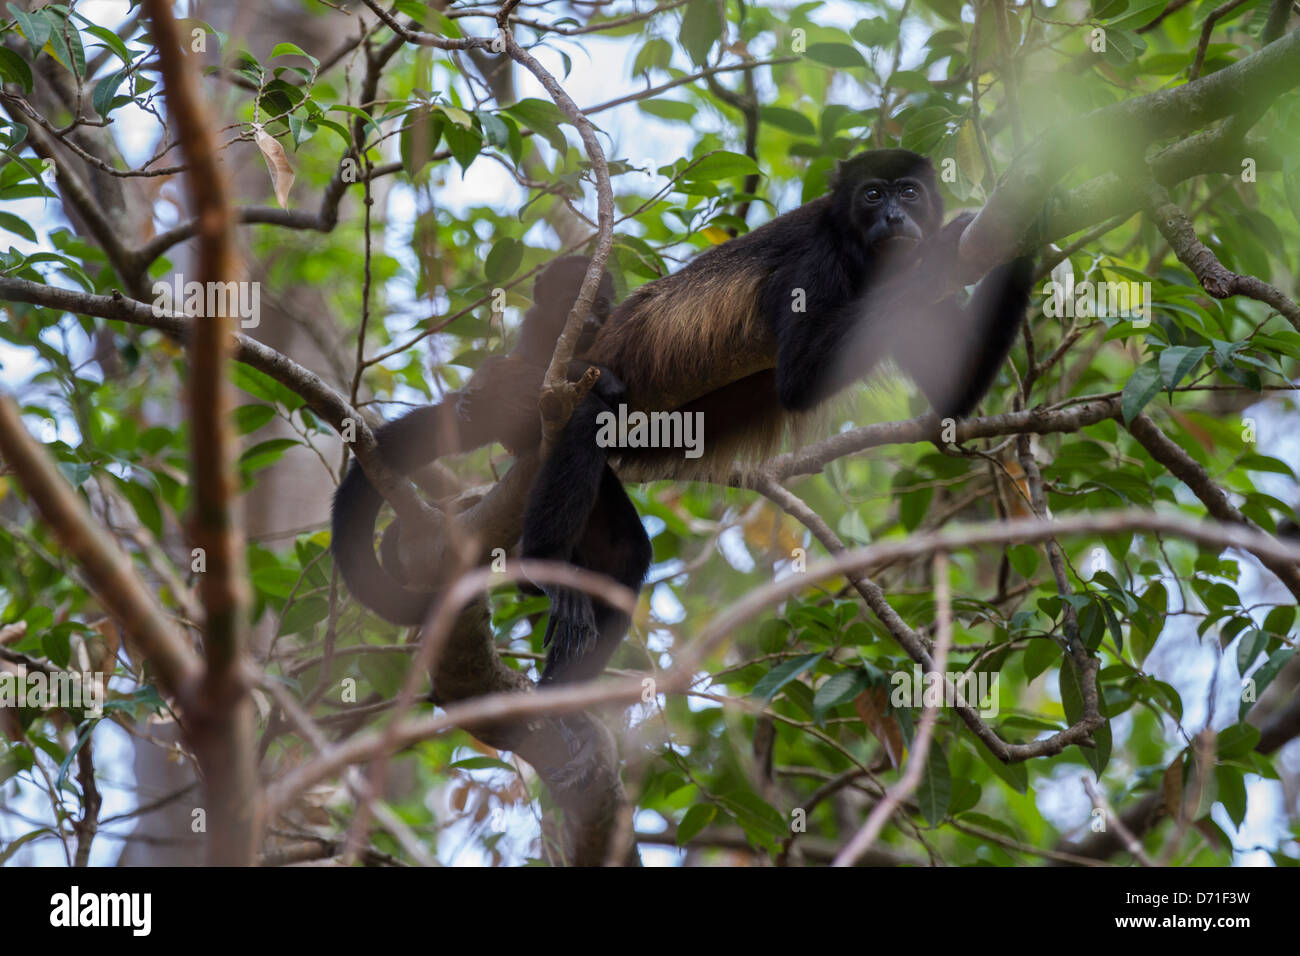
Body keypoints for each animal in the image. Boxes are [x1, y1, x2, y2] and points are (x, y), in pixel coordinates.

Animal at [520, 149, 1034, 686]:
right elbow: (798, 377)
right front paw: (944, 249)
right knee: (589, 418)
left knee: (626, 558)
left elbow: (953, 394)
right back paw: (542, 566)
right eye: (873, 195)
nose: (895, 216)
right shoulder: (814, 259)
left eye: (909, 192)